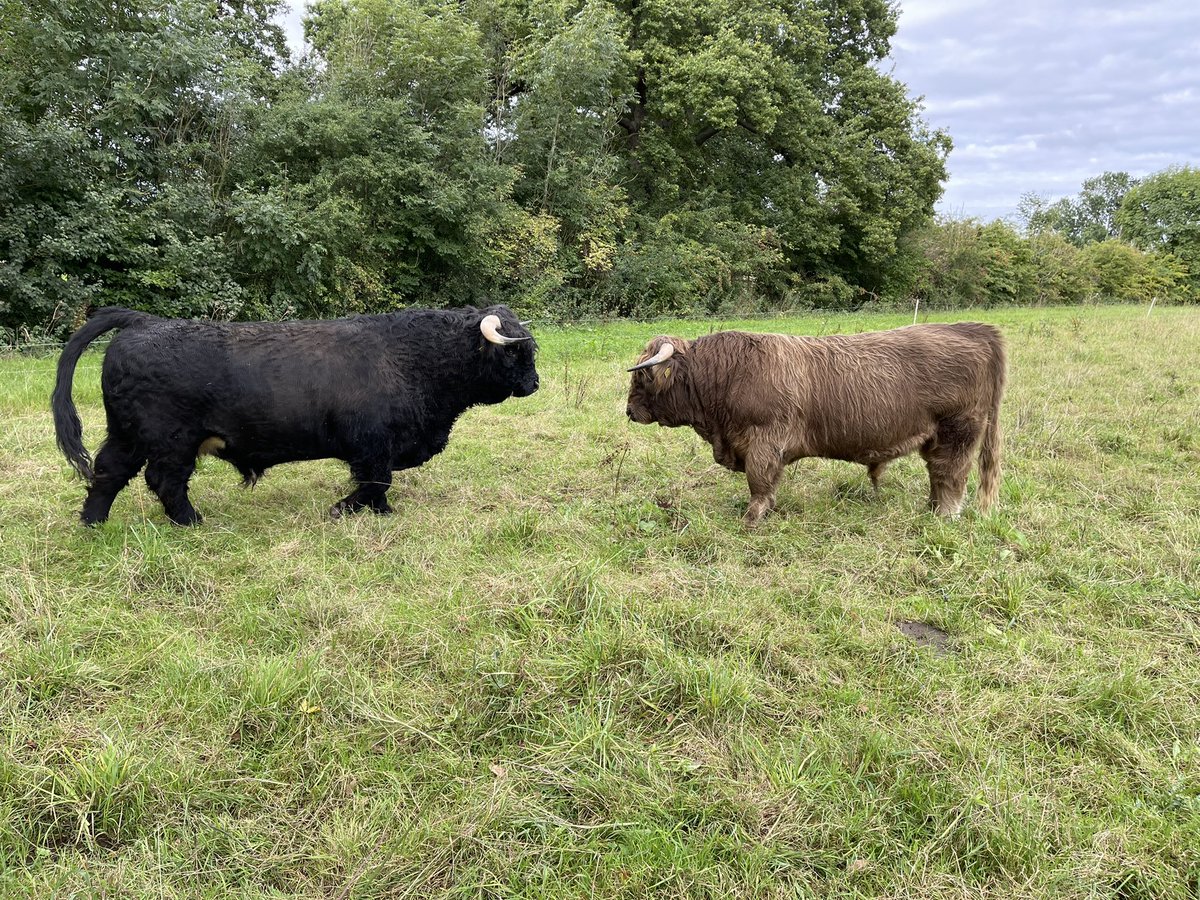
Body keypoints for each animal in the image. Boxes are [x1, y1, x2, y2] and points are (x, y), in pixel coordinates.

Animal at [52, 305, 538, 525]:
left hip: (127, 435)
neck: (414, 358)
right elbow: (376, 483)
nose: (534, 383)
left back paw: (94, 521)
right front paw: (351, 509)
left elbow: (375, 484)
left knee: (108, 472)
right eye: (515, 351)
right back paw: (191, 520)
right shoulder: (374, 446)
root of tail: (144, 322)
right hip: (171, 441)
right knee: (164, 481)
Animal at [625, 323, 1006, 525]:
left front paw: (752, 518)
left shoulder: (763, 441)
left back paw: (942, 516)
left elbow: (759, 482)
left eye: (642, 378)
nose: (629, 411)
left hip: (958, 432)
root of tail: (974, 330)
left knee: (950, 477)